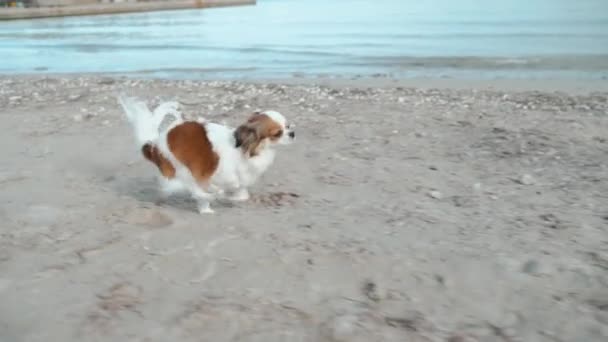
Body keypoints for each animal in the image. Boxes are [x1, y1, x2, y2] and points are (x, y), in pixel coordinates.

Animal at [118, 95, 294, 214]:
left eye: (287, 126)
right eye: (278, 133)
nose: (292, 133)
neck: (246, 149)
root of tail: (155, 144)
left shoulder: (239, 182)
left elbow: (241, 195)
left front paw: (229, 198)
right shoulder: (208, 175)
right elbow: (212, 190)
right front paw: (216, 197)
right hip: (181, 169)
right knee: (189, 188)